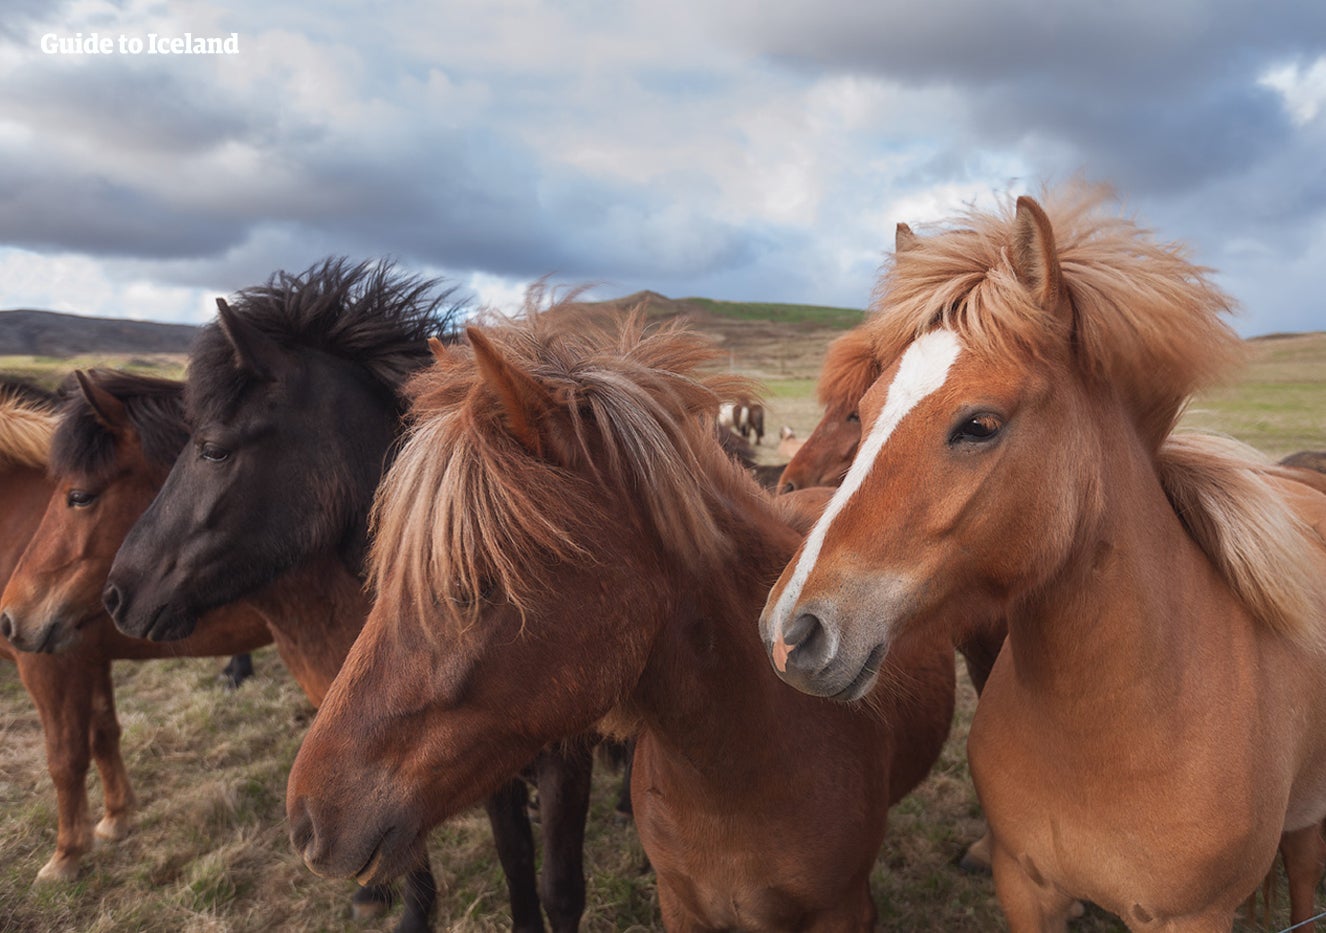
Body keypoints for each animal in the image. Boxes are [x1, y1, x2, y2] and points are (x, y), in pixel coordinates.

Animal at [100, 259, 592, 933]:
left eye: (214, 449)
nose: (119, 592)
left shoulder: (569, 756)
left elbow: (560, 888)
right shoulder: (483, 753)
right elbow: (515, 860)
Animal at [760, 185, 1326, 931]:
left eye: (979, 424)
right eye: (868, 408)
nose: (790, 632)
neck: (1111, 732)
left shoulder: (1192, 915)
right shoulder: (1025, 886)